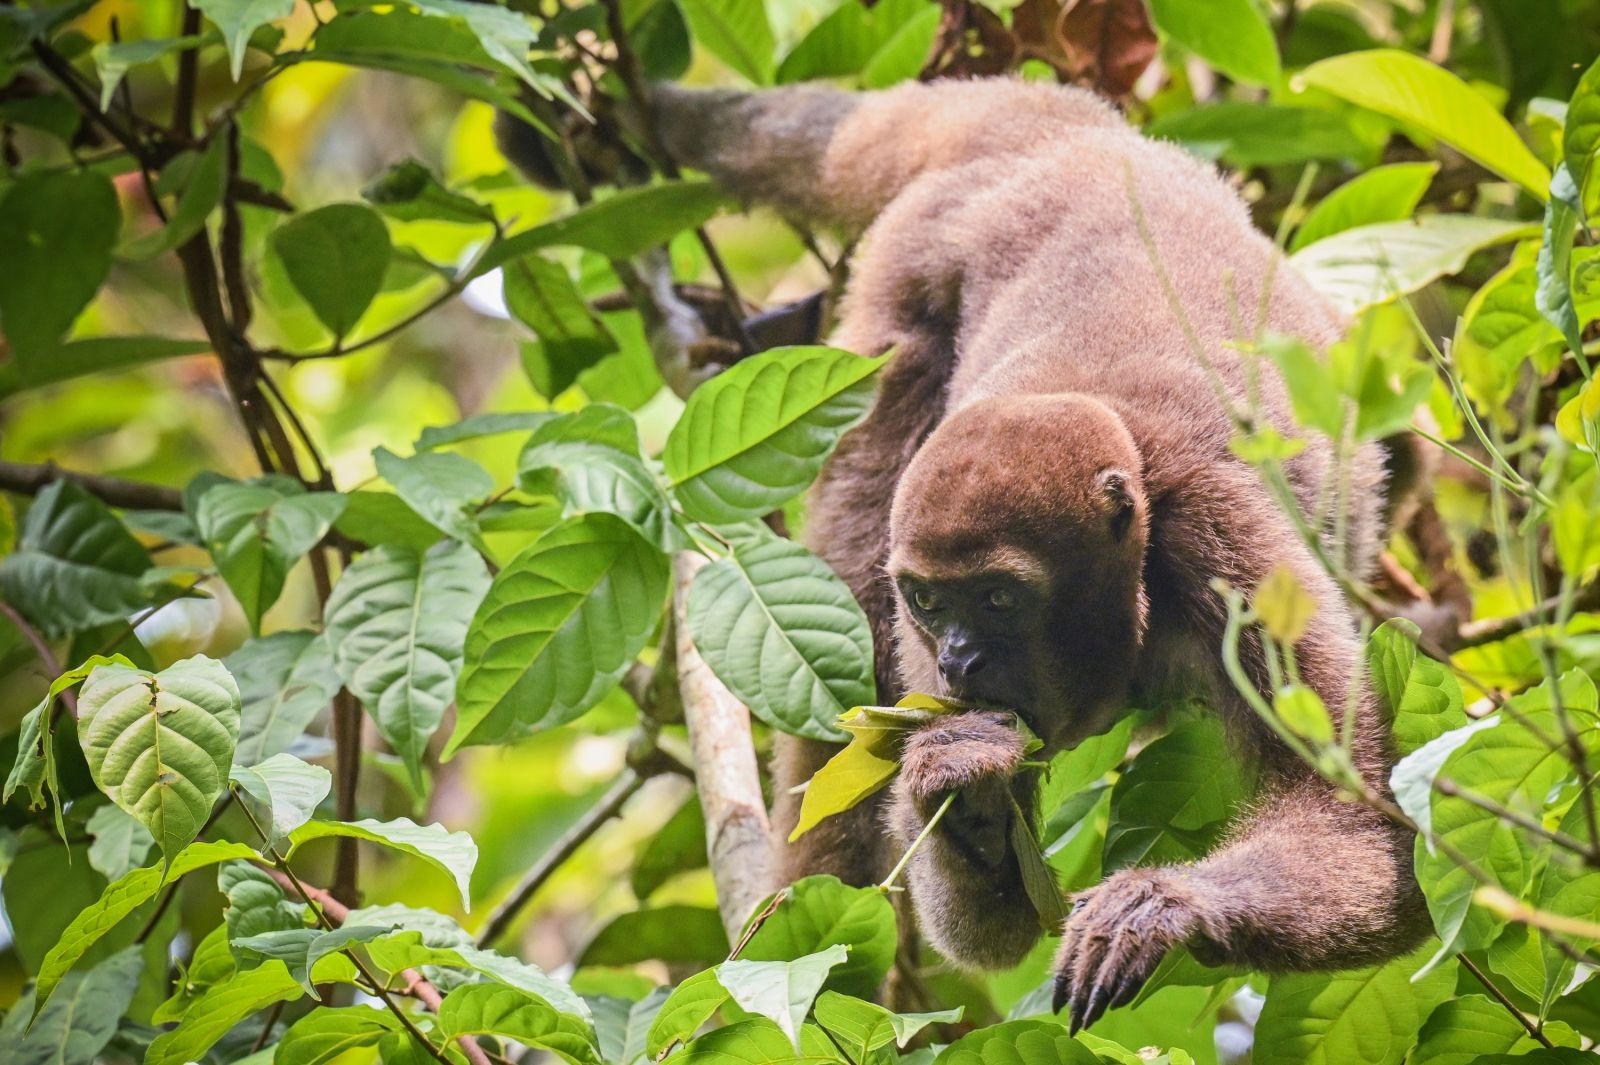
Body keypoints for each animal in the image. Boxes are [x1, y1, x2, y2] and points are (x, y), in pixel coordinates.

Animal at [501, 77, 1430, 1029]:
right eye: (931, 601)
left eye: (1000, 599)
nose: (958, 659)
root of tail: (1056, 131)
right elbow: (986, 927)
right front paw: (963, 793)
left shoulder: (1230, 554)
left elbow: (1358, 834)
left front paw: (1157, 908)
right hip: (902, 287)